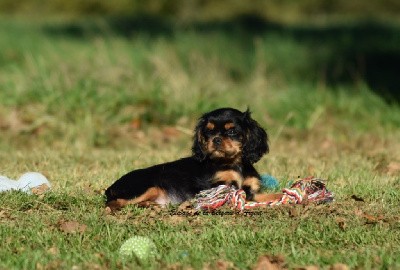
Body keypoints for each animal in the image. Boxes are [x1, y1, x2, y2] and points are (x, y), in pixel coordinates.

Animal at [104, 108, 272, 211]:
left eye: (232, 131)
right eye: (208, 131)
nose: (216, 139)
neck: (233, 163)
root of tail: (112, 186)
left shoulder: (253, 191)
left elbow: (270, 196)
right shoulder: (221, 187)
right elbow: (249, 201)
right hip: (147, 187)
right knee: (114, 203)